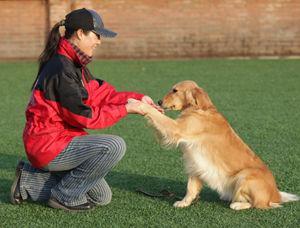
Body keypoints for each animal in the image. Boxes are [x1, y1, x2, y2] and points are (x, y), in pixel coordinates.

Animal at [133, 80, 298, 210]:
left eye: (175, 90)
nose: (159, 101)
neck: (199, 108)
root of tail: (276, 195)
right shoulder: (195, 162)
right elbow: (191, 187)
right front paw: (184, 202)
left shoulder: (176, 129)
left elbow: (157, 116)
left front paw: (139, 104)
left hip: (244, 176)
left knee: (259, 204)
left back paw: (237, 204)